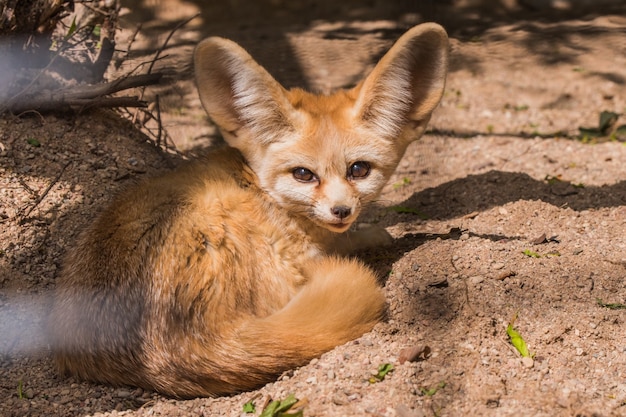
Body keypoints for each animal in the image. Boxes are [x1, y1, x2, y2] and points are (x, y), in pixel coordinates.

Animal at [50, 22, 448, 396]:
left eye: (359, 169)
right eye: (303, 174)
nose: (341, 211)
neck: (259, 187)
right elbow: (346, 244)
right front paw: (370, 236)